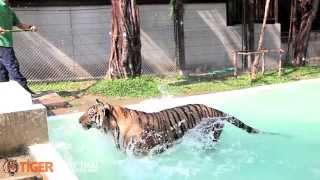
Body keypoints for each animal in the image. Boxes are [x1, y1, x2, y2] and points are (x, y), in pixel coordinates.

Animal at [78, 99, 260, 155]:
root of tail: (214, 110)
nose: (78, 121)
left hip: (210, 137)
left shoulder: (140, 153)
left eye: (91, 113)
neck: (112, 128)